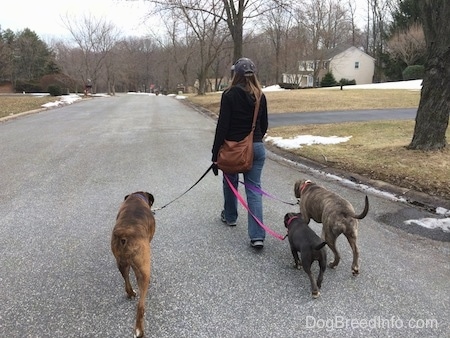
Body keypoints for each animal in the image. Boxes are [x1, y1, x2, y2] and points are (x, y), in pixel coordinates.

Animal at [111, 191, 156, 336]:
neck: (137, 196)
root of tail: (124, 236)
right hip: (143, 269)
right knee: (141, 305)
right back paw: (139, 330)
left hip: (121, 263)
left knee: (126, 279)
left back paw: (130, 293)